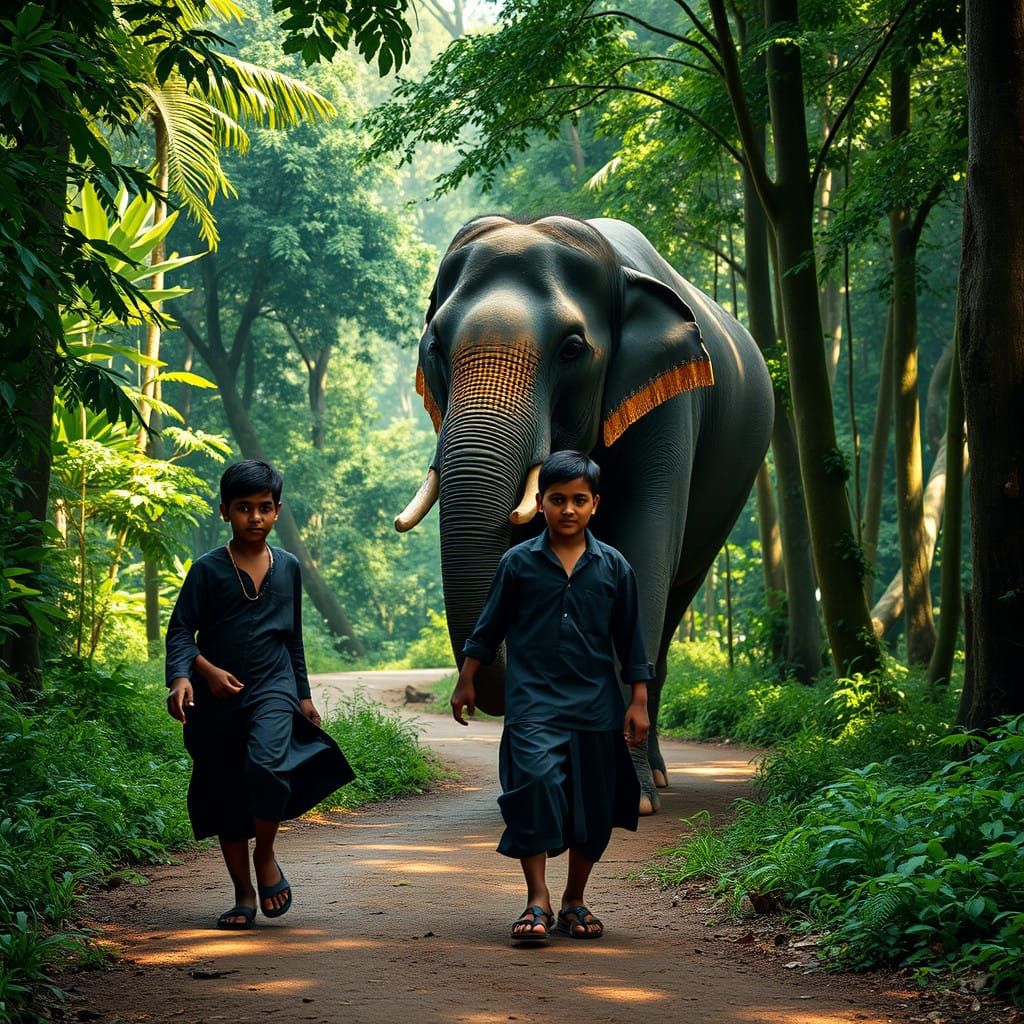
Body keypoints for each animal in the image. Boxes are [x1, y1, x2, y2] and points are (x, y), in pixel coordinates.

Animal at [395, 215, 774, 814]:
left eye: (572, 349)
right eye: (435, 346)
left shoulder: (668, 407)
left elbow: (642, 557)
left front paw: (632, 801)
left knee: (670, 608)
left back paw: (657, 777)